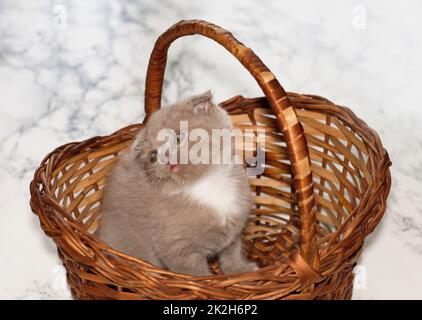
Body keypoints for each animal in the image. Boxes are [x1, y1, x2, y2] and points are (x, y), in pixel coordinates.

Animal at [98, 90, 258, 276]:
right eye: (153, 156)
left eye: (178, 137)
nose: (166, 157)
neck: (205, 183)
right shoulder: (179, 252)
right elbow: (197, 274)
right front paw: (211, 282)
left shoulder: (235, 229)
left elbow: (232, 252)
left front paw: (241, 270)